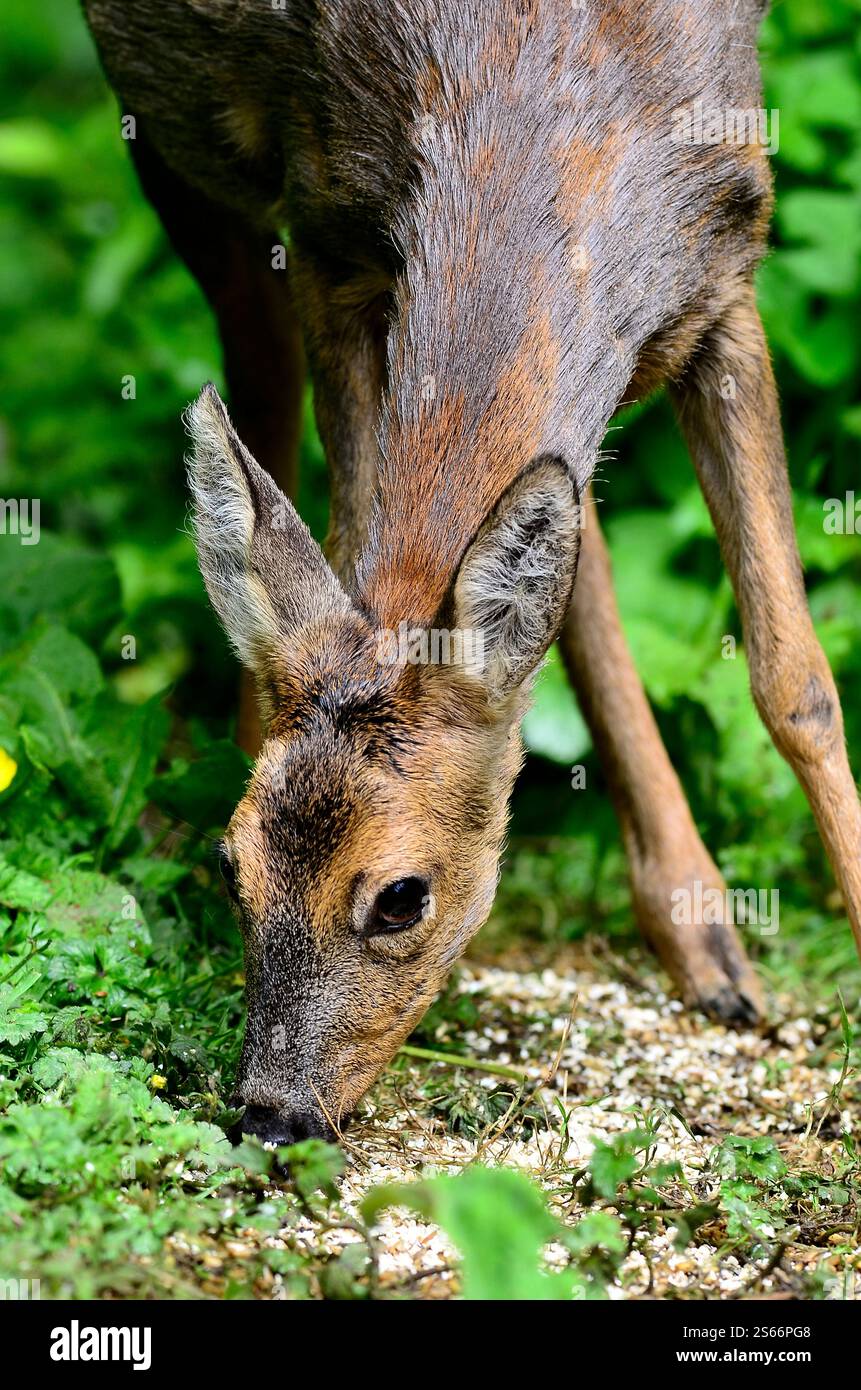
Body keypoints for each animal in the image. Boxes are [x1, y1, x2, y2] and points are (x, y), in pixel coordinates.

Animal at [83, 0, 861, 1149]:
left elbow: (794, 679)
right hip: (170, 137)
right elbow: (359, 535)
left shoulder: (730, 263)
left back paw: (707, 941)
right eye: (235, 866)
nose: (271, 1110)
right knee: (261, 386)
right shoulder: (328, 228)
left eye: (402, 896)